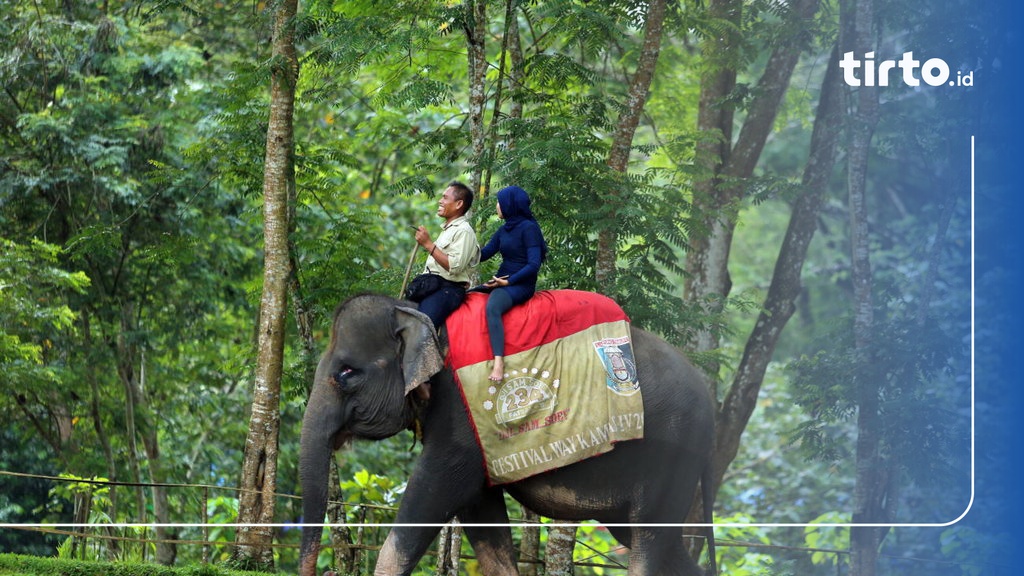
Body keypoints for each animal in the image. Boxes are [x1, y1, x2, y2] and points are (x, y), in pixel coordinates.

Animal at [299, 293, 716, 569]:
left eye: (346, 373)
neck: (420, 313)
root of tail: (708, 394)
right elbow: (482, 517)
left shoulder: (461, 426)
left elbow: (431, 498)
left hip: (671, 453)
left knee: (649, 540)